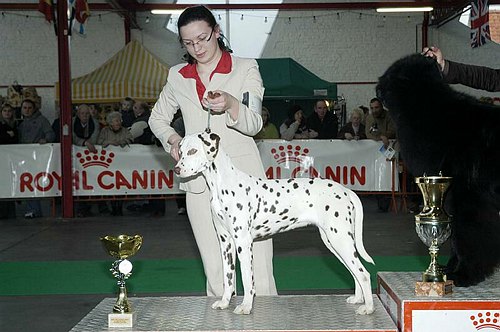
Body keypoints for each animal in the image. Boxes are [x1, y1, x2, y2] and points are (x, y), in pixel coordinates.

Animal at [174, 131, 374, 316]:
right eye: (181, 151)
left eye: (193, 151)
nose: (176, 169)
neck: (222, 185)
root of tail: (346, 190)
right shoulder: (225, 242)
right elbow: (228, 277)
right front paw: (224, 302)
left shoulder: (243, 242)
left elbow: (247, 279)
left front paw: (246, 306)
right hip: (334, 242)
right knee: (355, 272)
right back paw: (358, 299)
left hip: (340, 240)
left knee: (363, 273)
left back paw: (368, 307)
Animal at [378, 53, 500, 286]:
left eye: (390, 75)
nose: (377, 87)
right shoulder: (448, 196)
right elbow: (455, 237)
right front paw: (448, 269)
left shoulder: (465, 195)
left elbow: (468, 234)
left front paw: (464, 274)